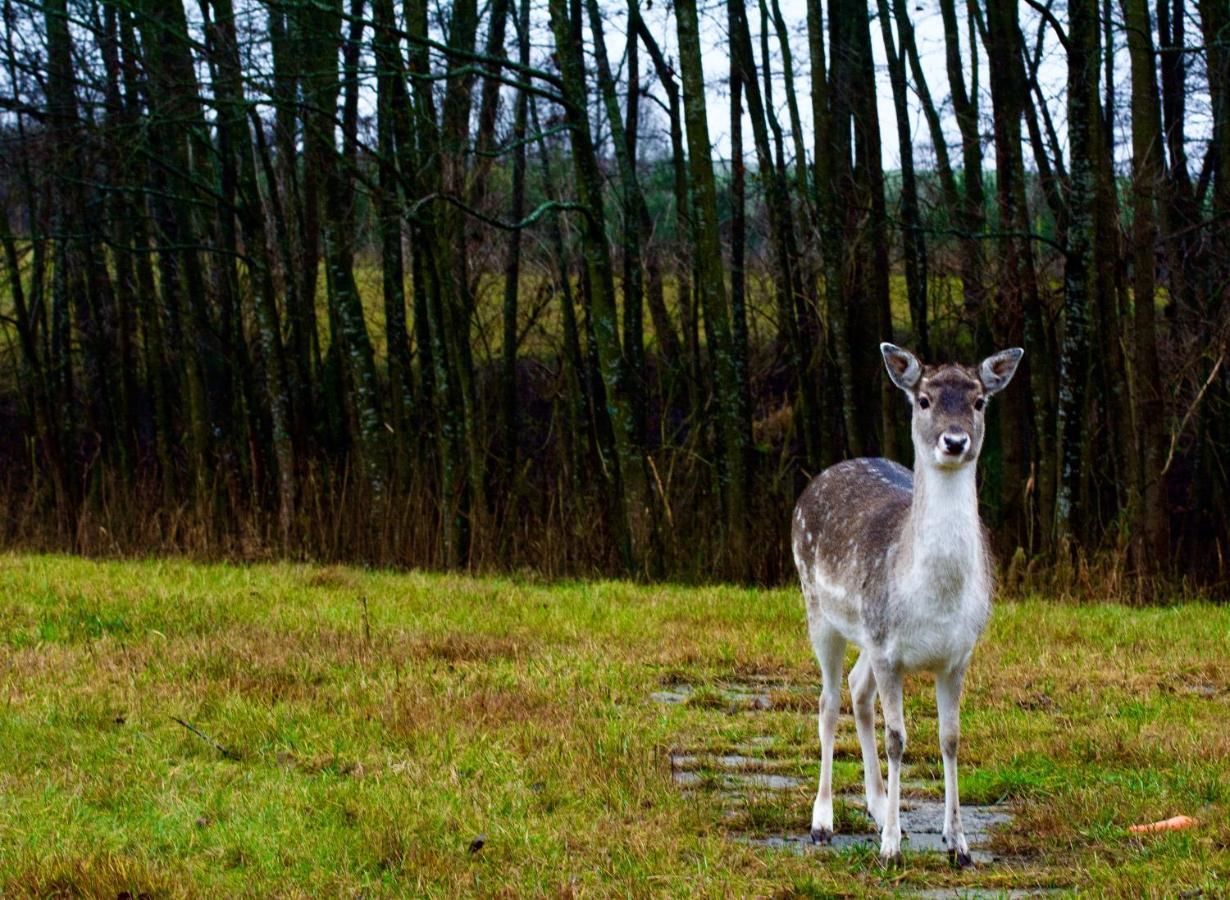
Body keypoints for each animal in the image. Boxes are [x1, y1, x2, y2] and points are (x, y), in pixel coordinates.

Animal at [792, 341, 1023, 865]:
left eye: (979, 401)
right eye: (923, 399)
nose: (955, 441)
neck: (932, 600)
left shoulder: (957, 654)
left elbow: (950, 738)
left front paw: (958, 844)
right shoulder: (887, 650)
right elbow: (898, 738)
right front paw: (892, 848)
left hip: (864, 634)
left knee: (857, 691)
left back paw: (878, 807)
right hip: (819, 608)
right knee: (828, 701)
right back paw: (823, 821)